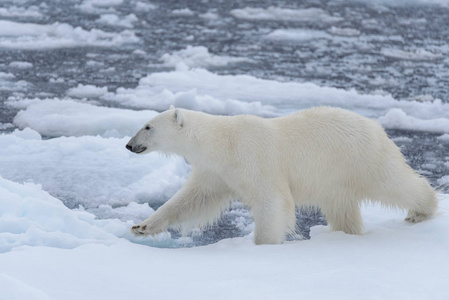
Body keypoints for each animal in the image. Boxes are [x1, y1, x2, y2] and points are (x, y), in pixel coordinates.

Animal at [127, 106, 438, 245]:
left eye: (147, 126)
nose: (129, 145)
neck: (222, 142)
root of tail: (377, 127)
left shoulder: (254, 158)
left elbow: (271, 200)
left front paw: (263, 246)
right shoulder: (217, 171)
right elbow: (193, 199)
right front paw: (142, 226)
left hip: (360, 158)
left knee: (393, 183)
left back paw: (421, 211)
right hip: (337, 179)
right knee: (342, 208)